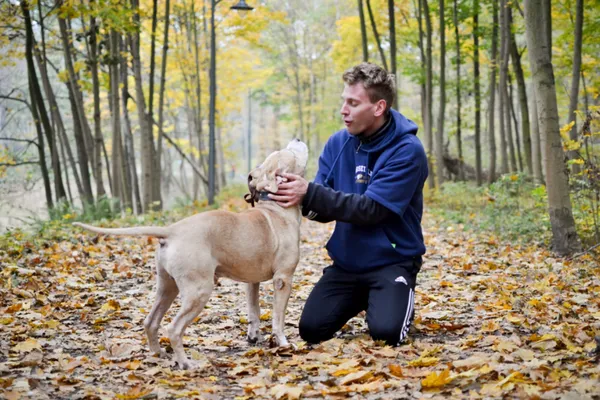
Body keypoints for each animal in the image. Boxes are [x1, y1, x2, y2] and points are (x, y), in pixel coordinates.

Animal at [74, 138, 308, 368]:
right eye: (290, 152)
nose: (297, 138)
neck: (275, 207)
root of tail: (172, 230)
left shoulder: (252, 281)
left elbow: (254, 311)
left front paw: (254, 337)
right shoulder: (283, 279)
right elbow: (278, 317)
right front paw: (284, 344)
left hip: (167, 286)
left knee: (151, 321)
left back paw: (159, 354)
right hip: (199, 290)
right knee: (174, 328)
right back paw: (186, 363)